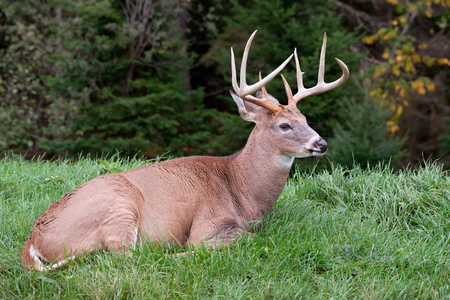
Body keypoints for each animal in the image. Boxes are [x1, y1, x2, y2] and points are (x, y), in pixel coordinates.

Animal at [22, 30, 350, 272]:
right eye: (284, 125)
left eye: (305, 119)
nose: (321, 144)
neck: (243, 190)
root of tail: (32, 243)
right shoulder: (208, 221)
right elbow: (243, 239)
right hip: (118, 208)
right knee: (128, 259)